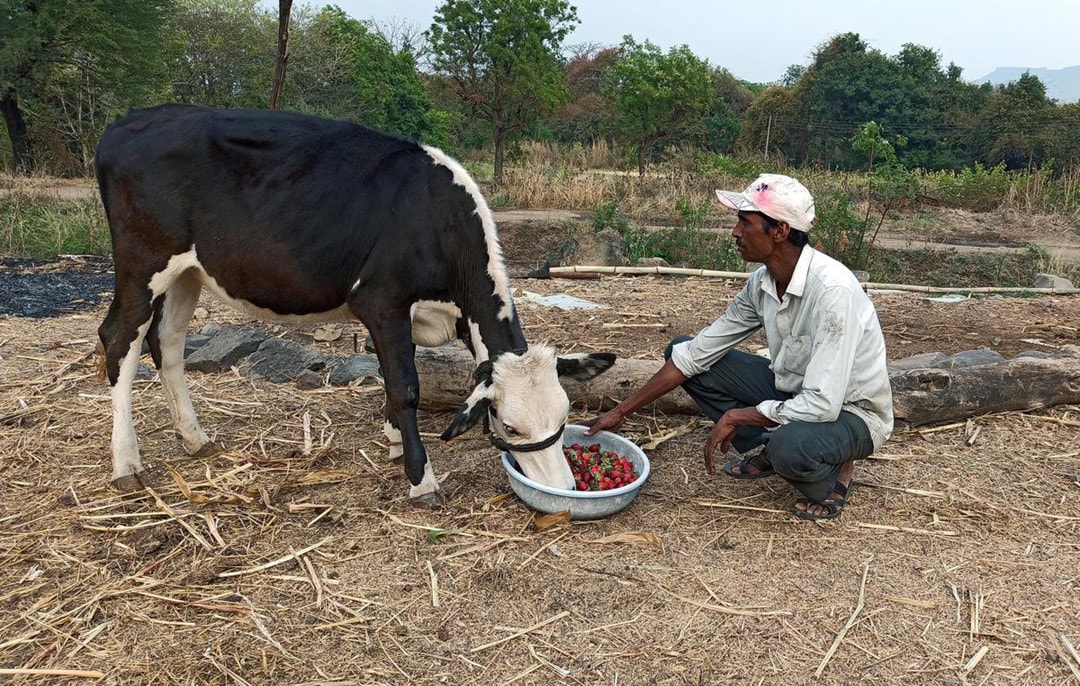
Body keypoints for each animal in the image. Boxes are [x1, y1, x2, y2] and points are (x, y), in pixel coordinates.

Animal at [92, 104, 617, 507]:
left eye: (565, 415)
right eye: (509, 425)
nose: (564, 487)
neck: (436, 219)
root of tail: (127, 121)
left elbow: (392, 376)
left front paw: (393, 440)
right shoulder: (381, 301)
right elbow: (405, 386)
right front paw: (420, 478)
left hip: (188, 271)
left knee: (167, 342)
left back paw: (194, 437)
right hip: (142, 262)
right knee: (119, 339)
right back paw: (127, 463)